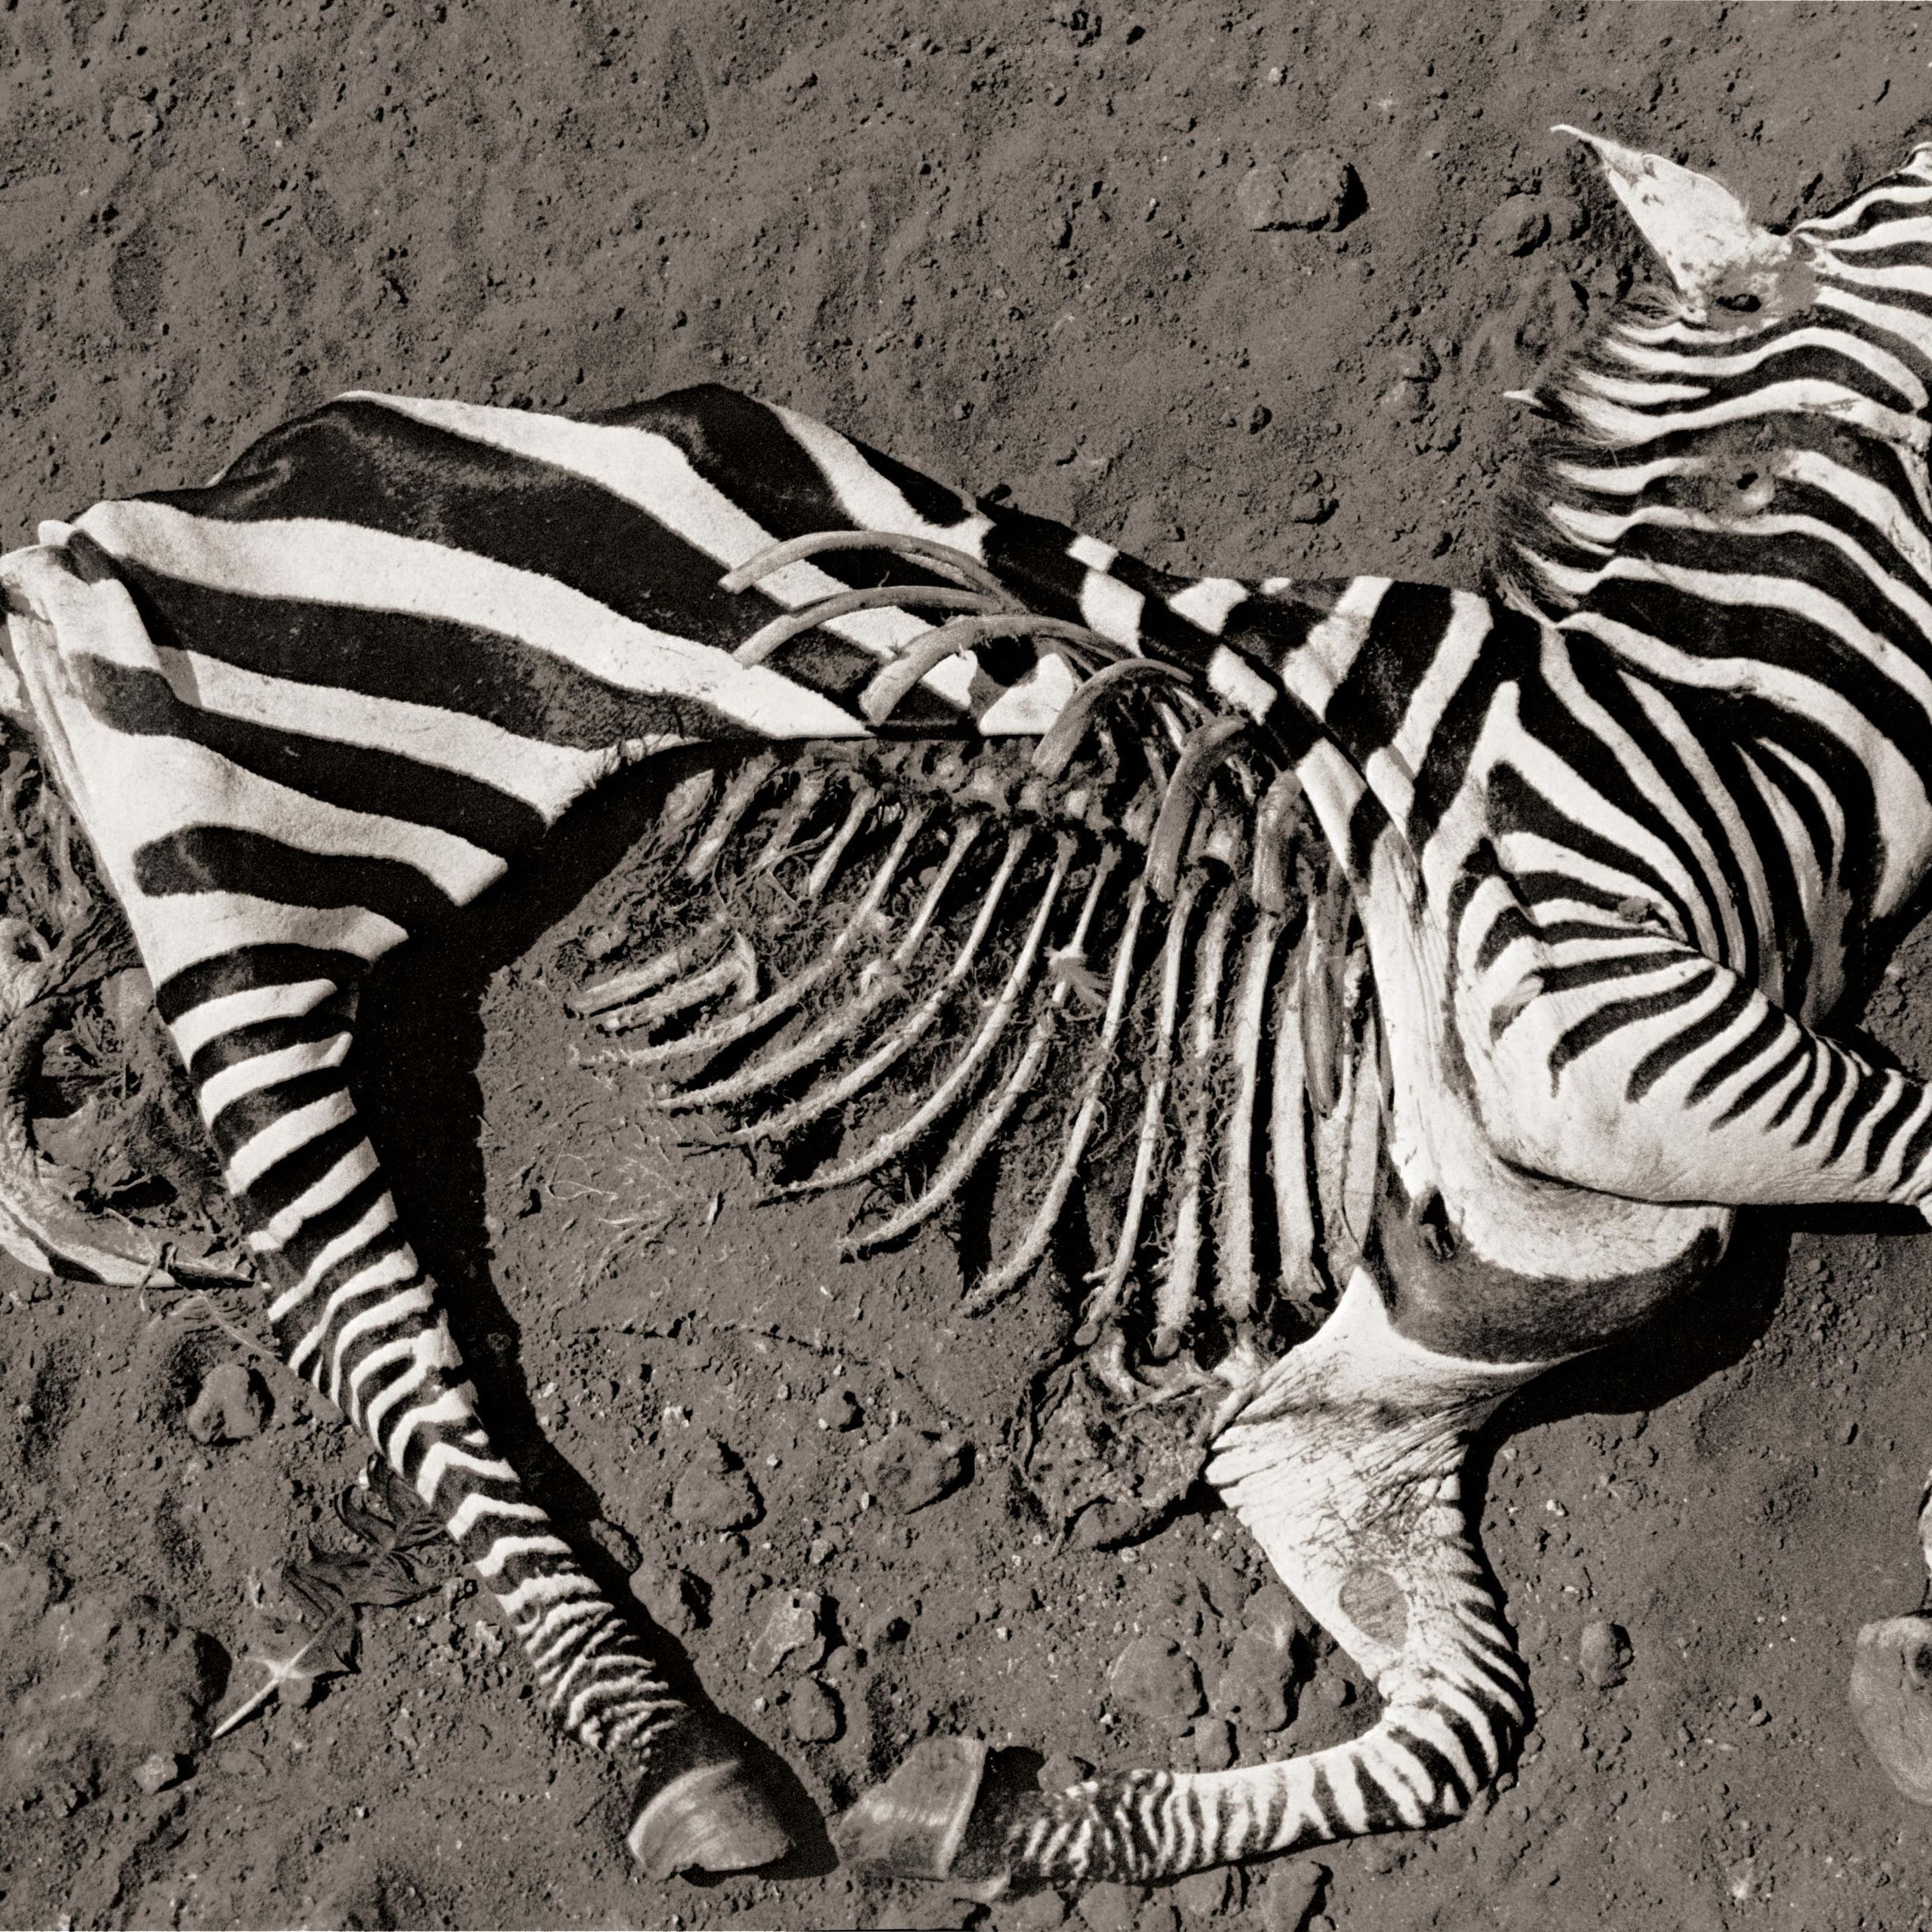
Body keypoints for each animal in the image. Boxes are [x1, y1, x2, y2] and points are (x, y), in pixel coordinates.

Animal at [3, 124, 1932, 1895]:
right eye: (1884, 199)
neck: (1751, 733)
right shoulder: (1580, 1008)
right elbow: (1911, 1136)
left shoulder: (1389, 1371)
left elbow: (1439, 1708)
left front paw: (1008, 1814)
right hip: (324, 775)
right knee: (332, 1197)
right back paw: (675, 1752)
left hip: (308, 797)